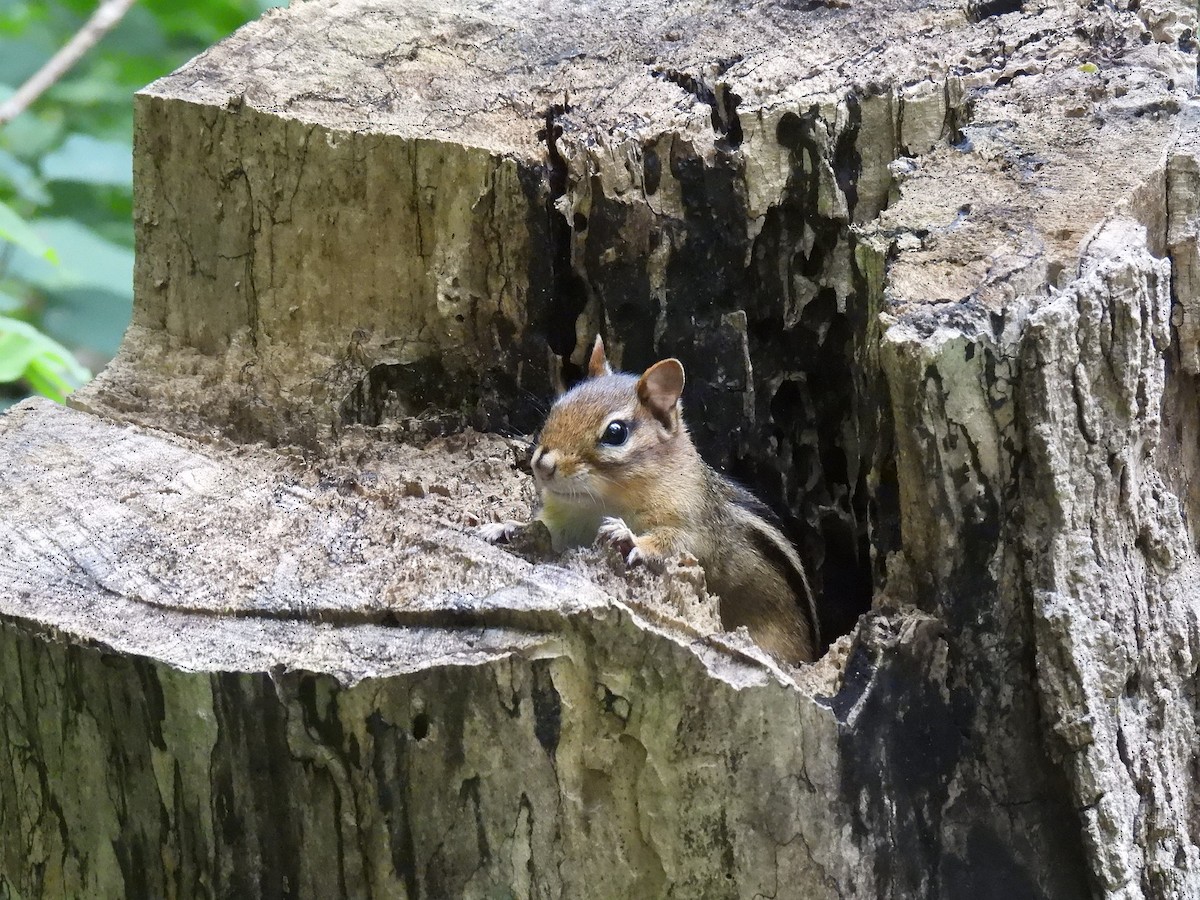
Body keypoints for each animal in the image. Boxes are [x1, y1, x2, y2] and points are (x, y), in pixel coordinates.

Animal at [481, 336, 820, 665]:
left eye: (615, 433)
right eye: (557, 406)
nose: (542, 465)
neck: (598, 503)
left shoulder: (696, 527)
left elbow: (678, 546)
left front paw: (628, 537)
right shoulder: (563, 521)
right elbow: (546, 530)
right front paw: (507, 526)